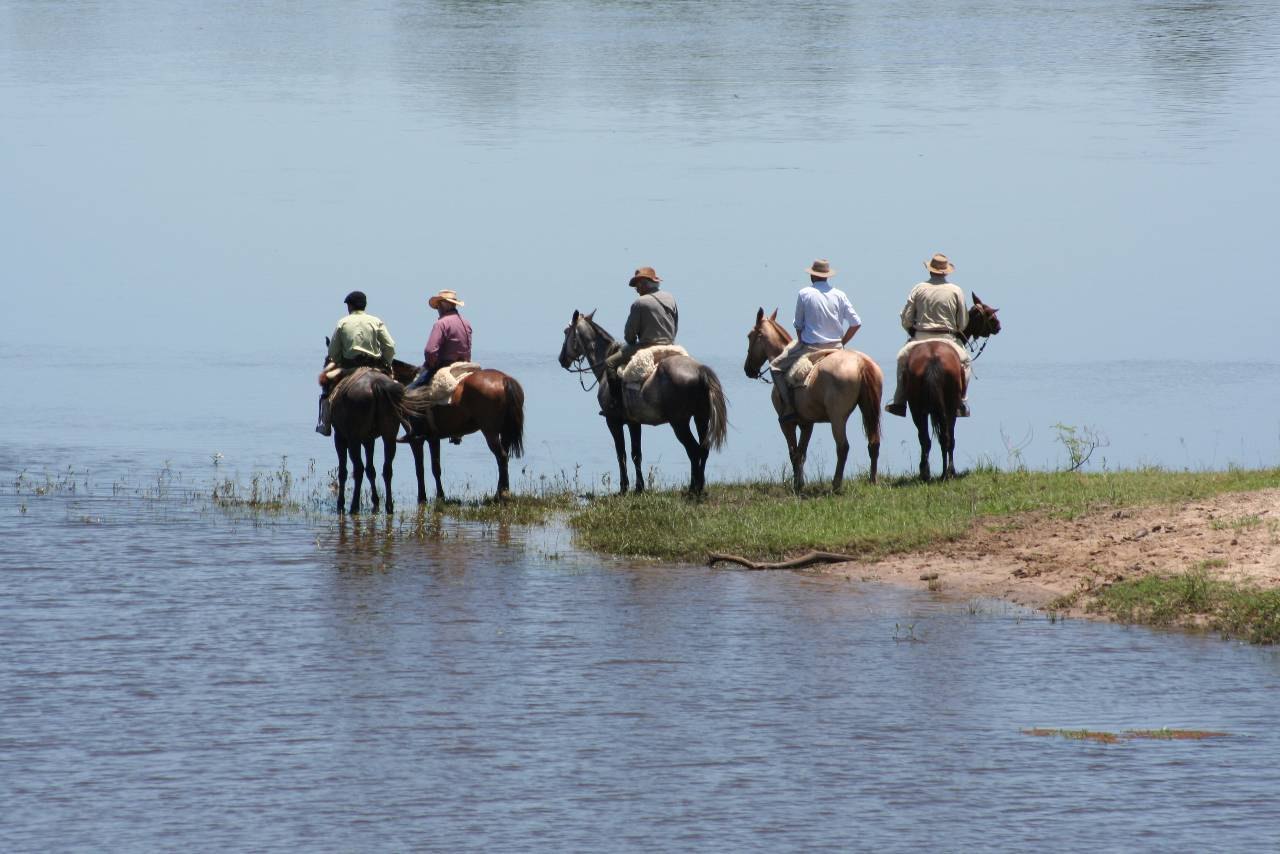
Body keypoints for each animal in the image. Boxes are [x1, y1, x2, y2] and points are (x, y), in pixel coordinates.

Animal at [394, 363, 524, 504]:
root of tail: (504, 379)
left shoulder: (416, 440)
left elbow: (419, 469)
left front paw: (422, 498)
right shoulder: (433, 438)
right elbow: (436, 468)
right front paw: (440, 496)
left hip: (490, 432)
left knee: (502, 457)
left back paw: (502, 495)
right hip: (505, 432)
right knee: (504, 459)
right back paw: (500, 493)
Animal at [560, 308, 732, 494]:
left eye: (566, 332)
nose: (561, 359)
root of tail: (700, 371)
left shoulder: (613, 422)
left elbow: (621, 454)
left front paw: (624, 488)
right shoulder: (634, 422)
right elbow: (636, 454)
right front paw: (639, 487)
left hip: (680, 423)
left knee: (694, 451)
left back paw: (693, 488)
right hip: (701, 417)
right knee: (704, 449)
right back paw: (698, 487)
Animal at [747, 307, 885, 494]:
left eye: (749, 336)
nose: (748, 369)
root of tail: (861, 362)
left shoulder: (787, 424)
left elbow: (793, 453)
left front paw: (796, 485)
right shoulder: (807, 423)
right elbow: (801, 453)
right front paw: (799, 483)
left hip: (837, 418)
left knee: (843, 447)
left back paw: (836, 484)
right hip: (868, 410)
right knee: (873, 443)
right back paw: (873, 480)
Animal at [906, 291, 1003, 481]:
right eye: (988, 313)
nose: (998, 325)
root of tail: (933, 358)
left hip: (916, 408)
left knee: (925, 439)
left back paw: (925, 472)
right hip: (950, 405)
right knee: (947, 437)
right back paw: (948, 472)